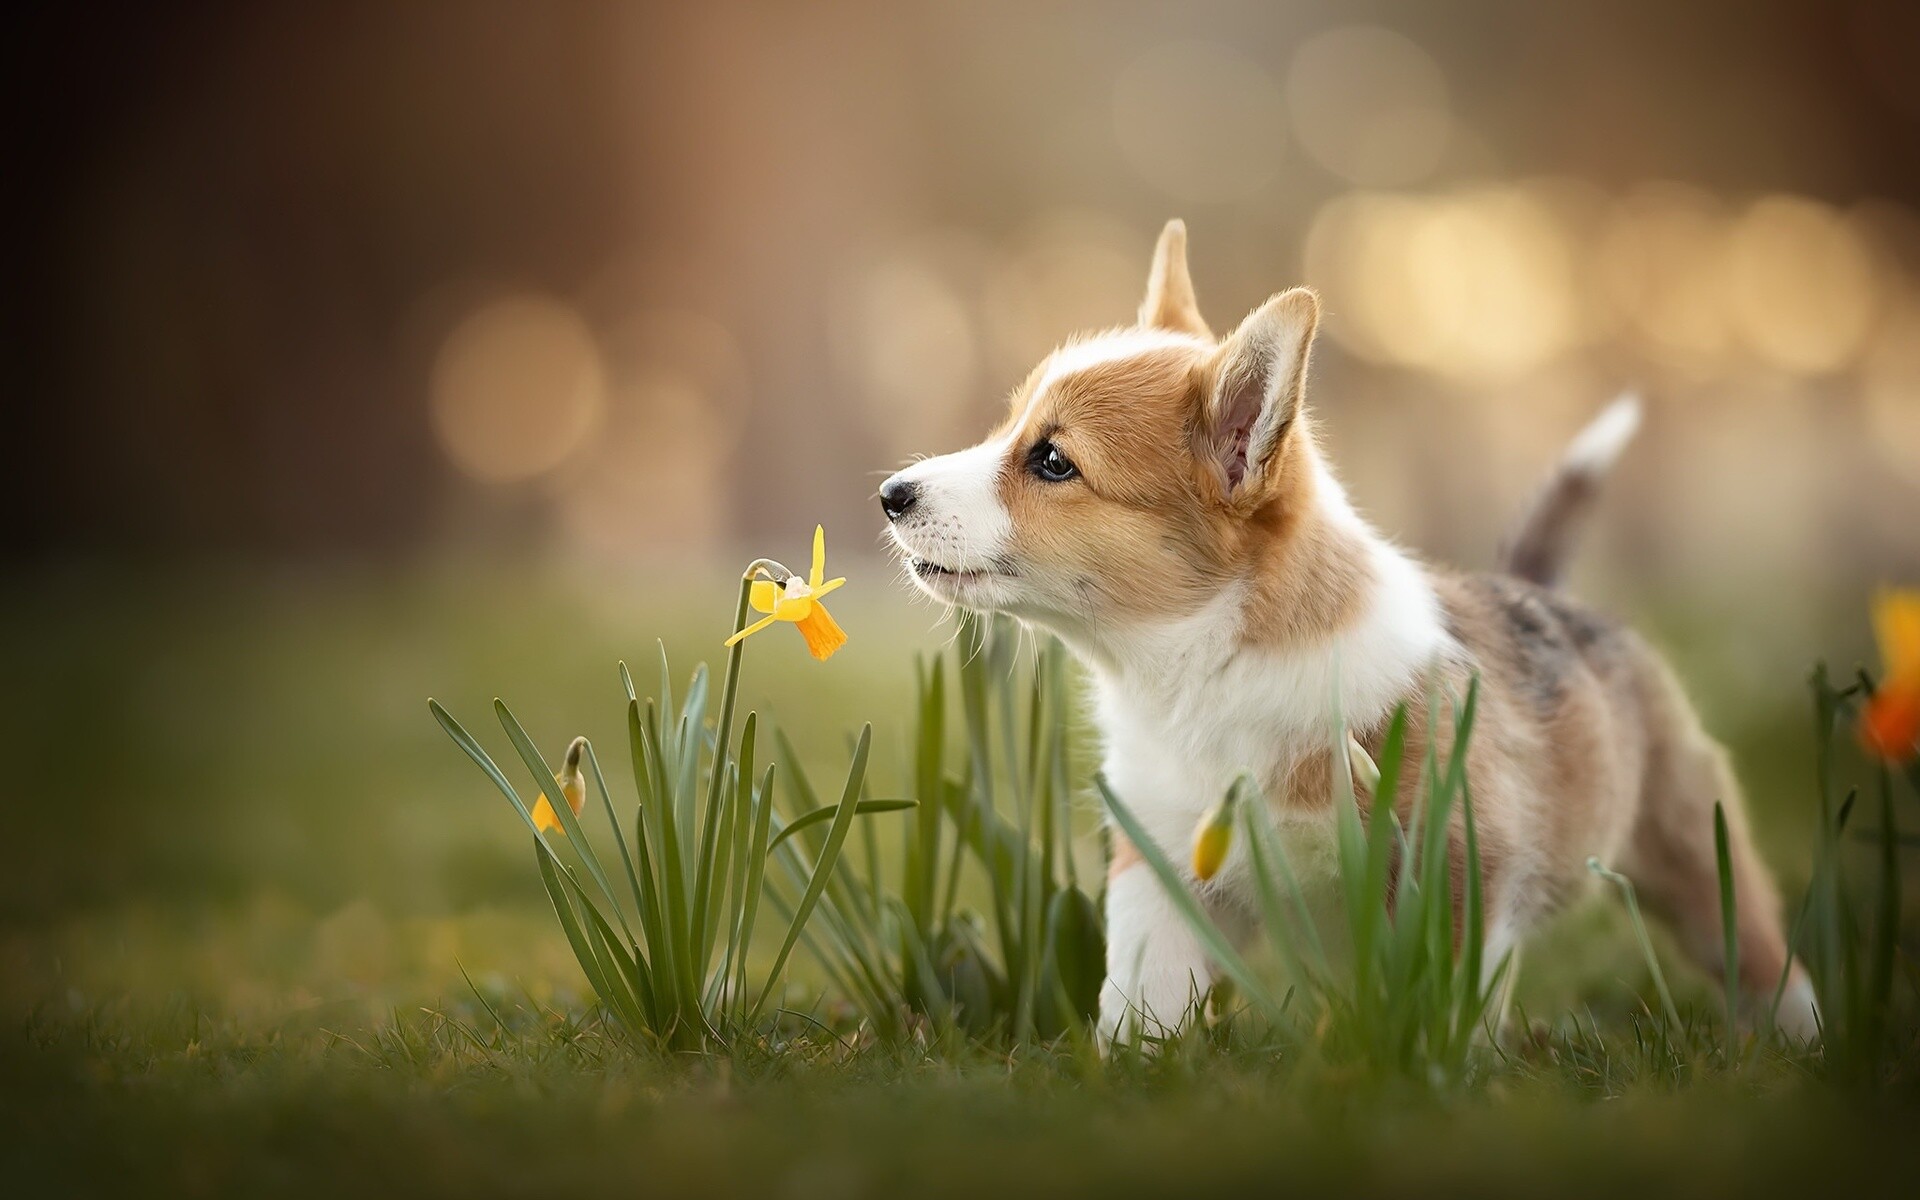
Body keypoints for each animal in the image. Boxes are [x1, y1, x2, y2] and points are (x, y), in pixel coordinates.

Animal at [883, 222, 1812, 1036]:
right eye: (1008, 427)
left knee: (1763, 956)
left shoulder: (1459, 868)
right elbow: (1140, 998)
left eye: (1052, 462)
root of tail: (1535, 589)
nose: (891, 494)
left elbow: (1445, 1002)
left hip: (1689, 847)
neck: (1204, 672)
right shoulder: (1163, 869)